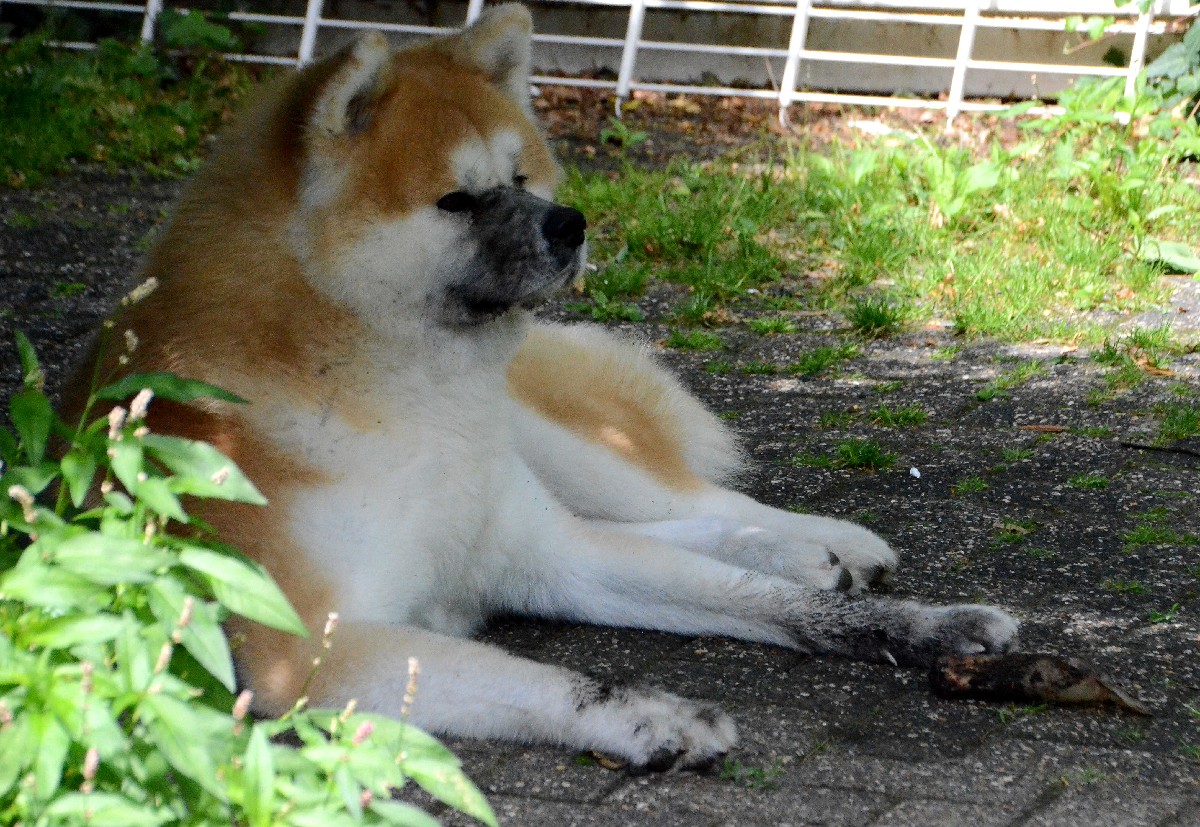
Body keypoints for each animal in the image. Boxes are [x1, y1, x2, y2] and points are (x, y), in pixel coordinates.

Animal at [87, 4, 1017, 771]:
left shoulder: (541, 551)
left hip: (559, 448)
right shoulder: (314, 652)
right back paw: (808, 558)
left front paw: (929, 625)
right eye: (456, 200)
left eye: (522, 179)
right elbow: (533, 675)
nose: (572, 225)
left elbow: (771, 605)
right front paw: (649, 714)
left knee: (695, 503)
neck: (401, 410)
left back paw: (821, 544)